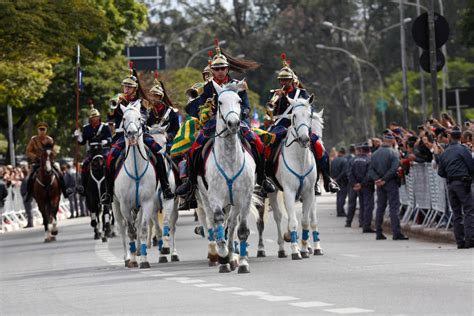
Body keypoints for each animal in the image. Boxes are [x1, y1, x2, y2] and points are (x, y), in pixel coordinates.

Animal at [111, 102, 156, 270]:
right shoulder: (124, 204)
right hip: (115, 205)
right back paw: (127, 257)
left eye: (139, 118)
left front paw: (144, 260)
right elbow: (130, 231)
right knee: (122, 228)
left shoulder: (147, 203)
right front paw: (133, 261)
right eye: (124, 118)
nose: (131, 133)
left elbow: (142, 229)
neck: (136, 170)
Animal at [198, 79, 262, 274]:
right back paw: (222, 257)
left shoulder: (245, 198)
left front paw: (242, 263)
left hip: (234, 203)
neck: (230, 160)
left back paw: (232, 257)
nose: (233, 123)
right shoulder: (215, 197)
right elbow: (218, 222)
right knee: (213, 223)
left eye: (239, 101)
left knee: (232, 224)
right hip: (205, 197)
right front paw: (223, 254)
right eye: (219, 102)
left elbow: (241, 230)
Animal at [268, 96, 324, 260]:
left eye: (309, 115)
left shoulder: (309, 192)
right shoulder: (289, 192)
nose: (304, 139)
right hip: (274, 192)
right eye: (294, 116)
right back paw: (282, 248)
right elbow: (293, 222)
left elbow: (307, 221)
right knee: (278, 217)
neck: (300, 160)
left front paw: (306, 248)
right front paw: (295, 250)